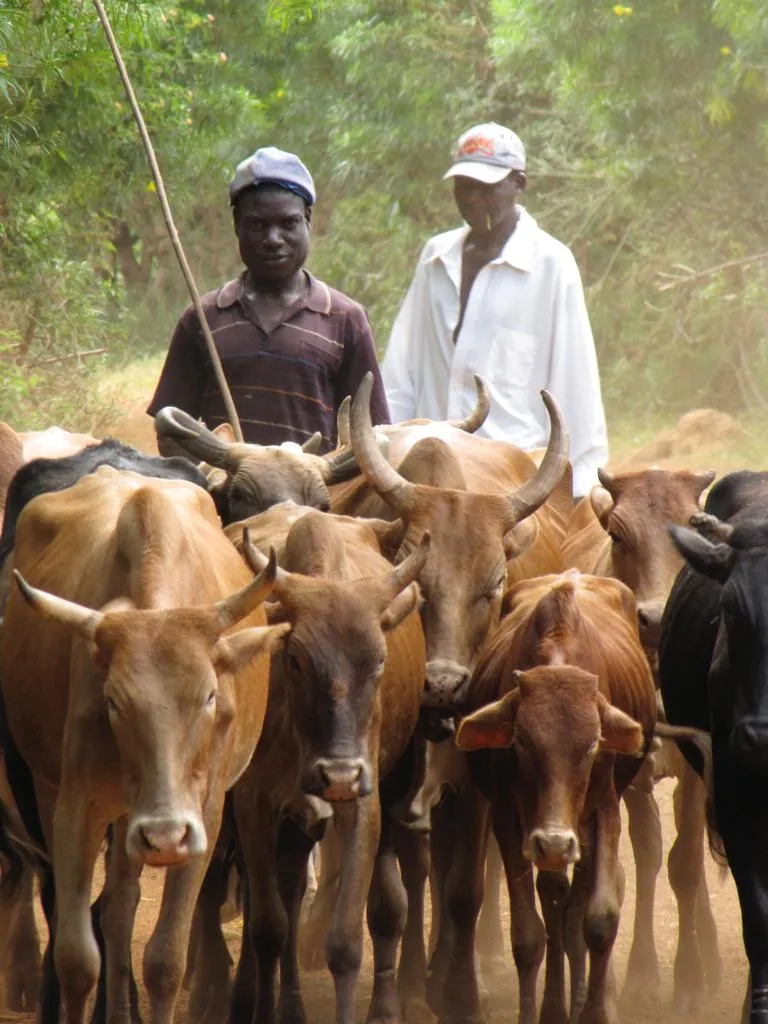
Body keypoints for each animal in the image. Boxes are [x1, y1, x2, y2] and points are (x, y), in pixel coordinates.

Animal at [0, 465, 289, 1024]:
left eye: (210, 695)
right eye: (113, 701)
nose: (165, 836)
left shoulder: (204, 815)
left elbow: (164, 961)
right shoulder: (77, 809)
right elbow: (77, 959)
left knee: (120, 909)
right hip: (65, 799)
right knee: (104, 911)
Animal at [223, 511, 428, 1024]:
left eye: (379, 660)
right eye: (296, 659)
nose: (338, 774)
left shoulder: (362, 806)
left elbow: (345, 943)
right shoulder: (252, 807)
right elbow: (268, 928)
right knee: (278, 902)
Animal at [431, 571, 657, 1024]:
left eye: (593, 745)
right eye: (521, 741)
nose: (553, 842)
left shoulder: (603, 809)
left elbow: (598, 921)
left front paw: (594, 1011)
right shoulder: (509, 818)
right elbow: (529, 937)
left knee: (574, 906)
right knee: (555, 905)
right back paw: (555, 1005)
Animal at [561, 465, 721, 1005]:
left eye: (696, 528)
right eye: (617, 534)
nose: (654, 617)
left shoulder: (697, 767)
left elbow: (686, 862)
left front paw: (691, 976)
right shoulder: (627, 772)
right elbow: (648, 856)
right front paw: (643, 973)